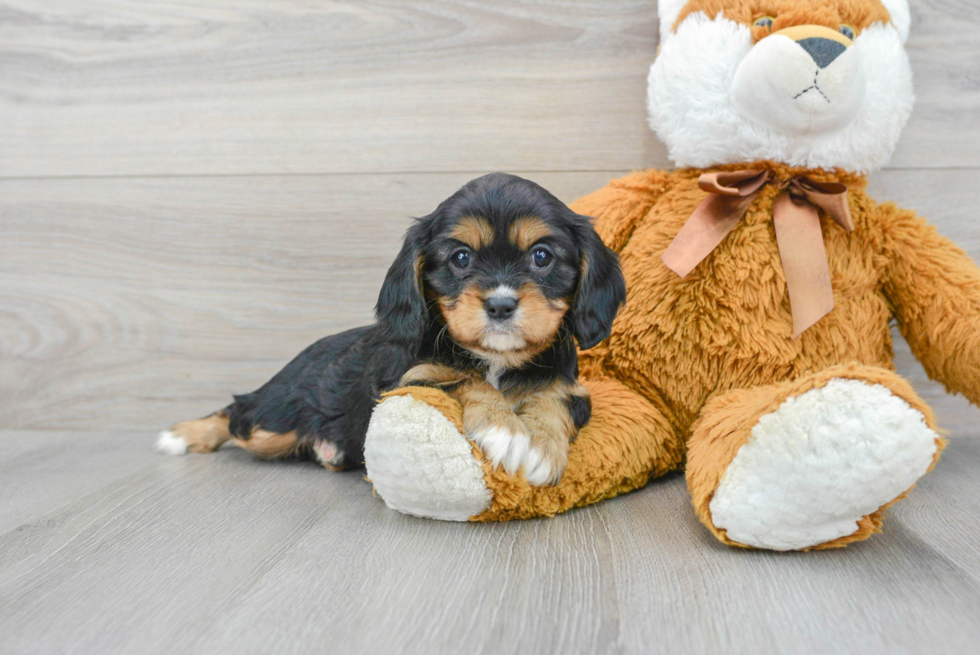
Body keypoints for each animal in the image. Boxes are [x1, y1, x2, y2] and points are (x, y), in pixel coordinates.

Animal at [157, 173, 624, 486]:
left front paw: (541, 447)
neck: (495, 358)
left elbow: (551, 398)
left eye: (542, 256)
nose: (501, 304)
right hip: (272, 422)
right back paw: (180, 435)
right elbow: (463, 380)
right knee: (237, 412)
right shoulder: (411, 379)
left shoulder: (572, 388)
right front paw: (503, 428)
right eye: (460, 258)